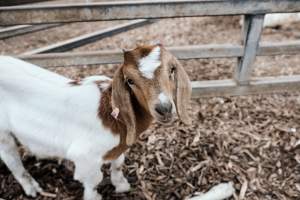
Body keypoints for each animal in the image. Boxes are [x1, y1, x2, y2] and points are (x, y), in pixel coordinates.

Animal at [0, 44, 192, 200]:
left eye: (172, 70)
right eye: (130, 80)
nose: (164, 108)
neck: (114, 117)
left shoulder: (119, 148)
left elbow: (118, 164)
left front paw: (121, 185)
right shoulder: (85, 157)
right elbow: (93, 180)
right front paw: (94, 197)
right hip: (3, 133)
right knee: (11, 159)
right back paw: (31, 188)